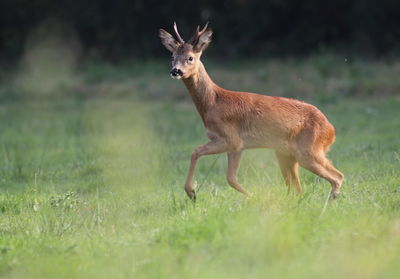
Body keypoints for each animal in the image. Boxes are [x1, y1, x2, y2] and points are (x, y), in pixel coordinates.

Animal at [159, 22, 344, 201]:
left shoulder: (231, 138)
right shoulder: (237, 147)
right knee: (298, 188)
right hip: (286, 154)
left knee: (338, 176)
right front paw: (252, 197)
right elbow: (231, 178)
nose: (175, 71)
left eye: (190, 57)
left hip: (308, 150)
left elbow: (195, 152)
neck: (212, 103)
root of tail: (331, 130)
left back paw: (330, 200)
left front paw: (191, 192)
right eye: (172, 57)